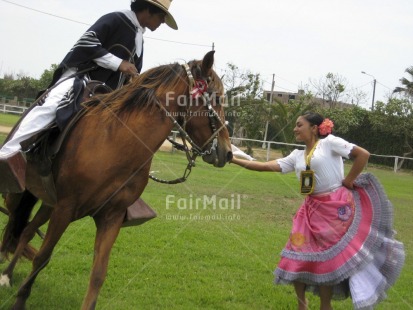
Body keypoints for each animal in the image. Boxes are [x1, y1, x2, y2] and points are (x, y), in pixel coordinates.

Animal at [0, 50, 232, 308]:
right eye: (217, 99)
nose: (227, 152)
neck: (115, 142)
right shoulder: (65, 208)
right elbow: (42, 257)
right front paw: (20, 301)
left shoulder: (110, 217)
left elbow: (98, 274)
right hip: (19, 193)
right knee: (15, 222)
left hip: (49, 202)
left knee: (27, 230)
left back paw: (8, 274)